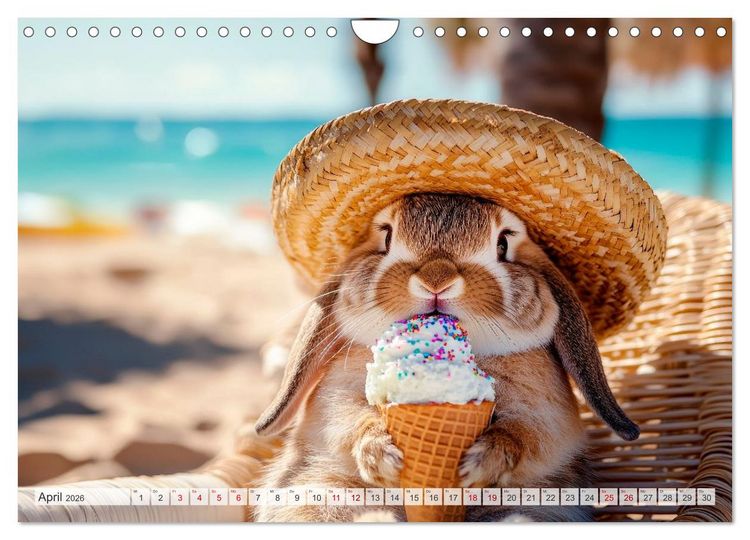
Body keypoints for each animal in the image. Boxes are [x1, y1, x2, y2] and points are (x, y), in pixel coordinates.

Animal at [253, 193, 639, 523]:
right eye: (386, 236)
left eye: (504, 243)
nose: (436, 280)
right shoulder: (335, 400)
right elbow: (349, 420)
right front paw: (382, 457)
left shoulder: (547, 415)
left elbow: (525, 434)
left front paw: (480, 463)